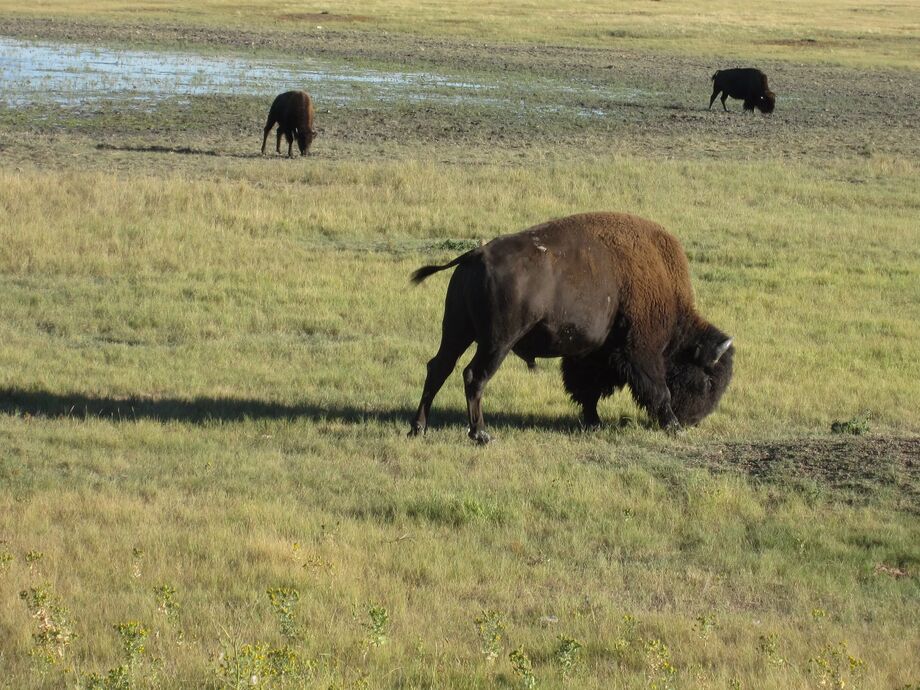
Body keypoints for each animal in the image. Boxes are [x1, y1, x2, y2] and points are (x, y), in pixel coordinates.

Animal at [408, 212, 734, 443]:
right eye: (708, 380)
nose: (694, 420)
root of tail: (474, 255)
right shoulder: (642, 351)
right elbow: (658, 389)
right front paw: (673, 427)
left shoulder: (592, 353)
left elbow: (587, 388)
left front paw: (593, 422)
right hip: (496, 342)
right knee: (474, 376)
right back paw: (481, 435)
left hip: (457, 332)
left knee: (438, 368)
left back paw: (418, 428)